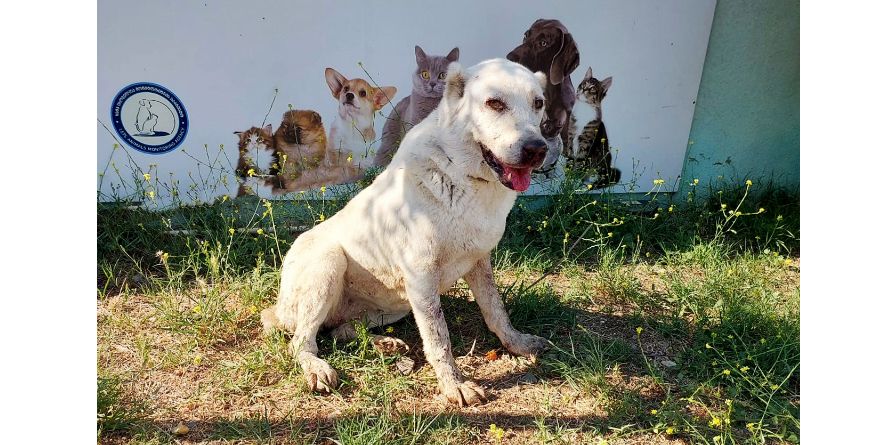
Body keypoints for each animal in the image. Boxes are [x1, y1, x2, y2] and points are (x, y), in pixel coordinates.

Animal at [262, 59, 556, 406]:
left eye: (538, 103)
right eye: (494, 103)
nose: (537, 149)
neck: (461, 174)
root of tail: (278, 309)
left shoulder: (479, 262)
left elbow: (496, 311)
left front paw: (517, 343)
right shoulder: (421, 275)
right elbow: (438, 337)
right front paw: (453, 384)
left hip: (395, 305)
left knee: (338, 330)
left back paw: (383, 344)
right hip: (330, 261)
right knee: (302, 341)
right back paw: (318, 368)